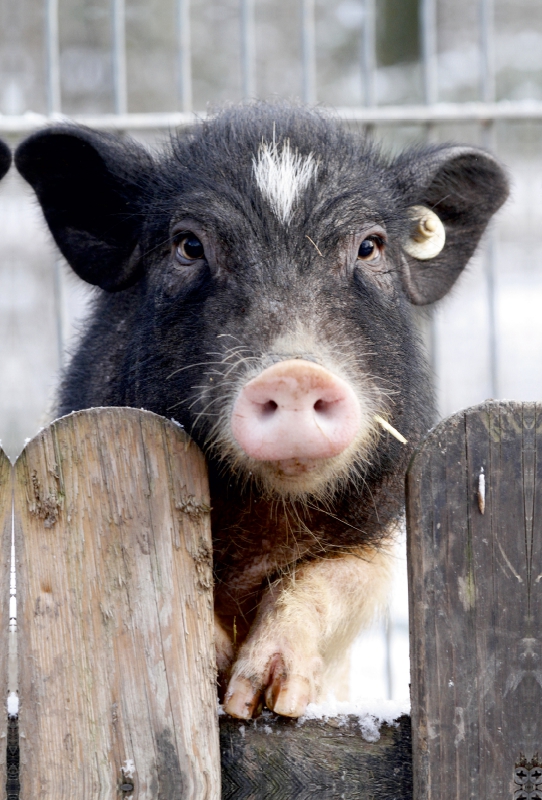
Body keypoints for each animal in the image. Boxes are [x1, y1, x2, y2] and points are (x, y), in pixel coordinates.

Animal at [17, 104, 510, 720]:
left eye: (369, 247)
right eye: (189, 246)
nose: (295, 372)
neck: (267, 515)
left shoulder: (379, 532)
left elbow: (332, 581)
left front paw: (267, 701)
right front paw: (227, 688)